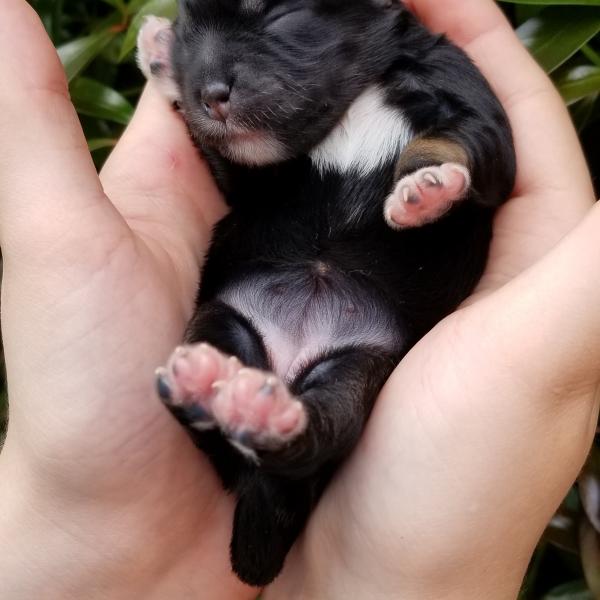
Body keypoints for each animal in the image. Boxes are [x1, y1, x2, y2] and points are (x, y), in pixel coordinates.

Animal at [137, 0, 516, 588]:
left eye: (278, 17)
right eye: (191, 33)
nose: (210, 93)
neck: (353, 99)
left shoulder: (475, 106)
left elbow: (456, 142)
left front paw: (425, 190)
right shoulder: (249, 179)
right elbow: (228, 161)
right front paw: (161, 53)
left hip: (356, 374)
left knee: (314, 434)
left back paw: (257, 411)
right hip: (223, 322)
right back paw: (206, 385)